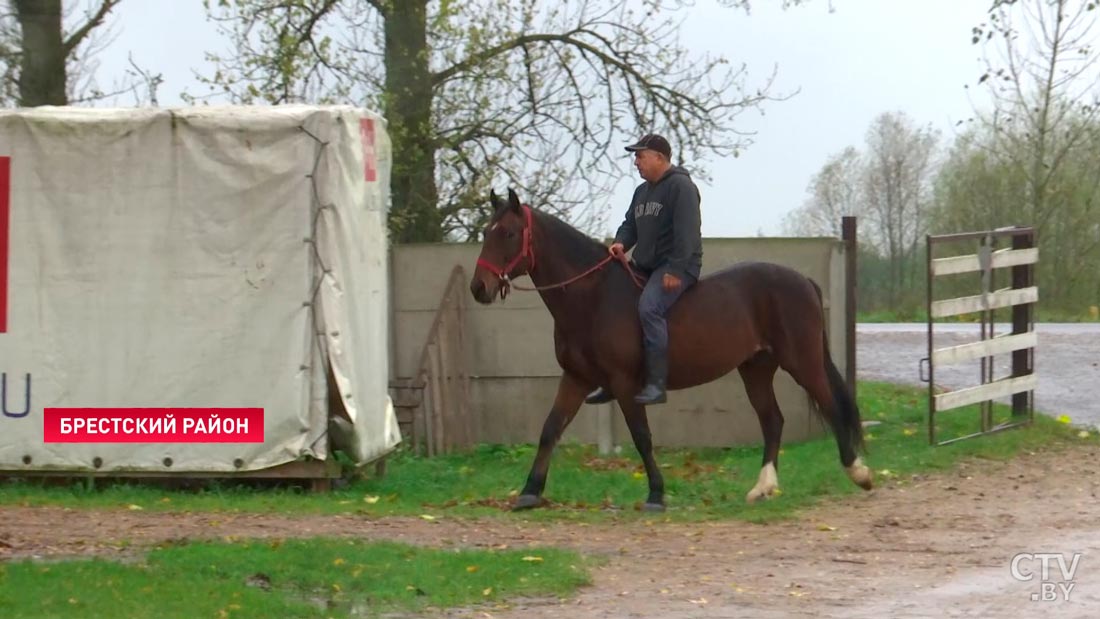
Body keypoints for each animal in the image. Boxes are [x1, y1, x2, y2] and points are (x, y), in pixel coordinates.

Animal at [468, 189, 871, 514]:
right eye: (486, 232)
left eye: (508, 233)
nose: (478, 287)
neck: (594, 297)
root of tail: (803, 281)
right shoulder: (576, 378)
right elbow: (550, 429)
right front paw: (529, 492)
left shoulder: (625, 384)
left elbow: (642, 437)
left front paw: (656, 495)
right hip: (756, 368)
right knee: (773, 420)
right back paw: (763, 487)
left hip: (802, 362)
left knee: (830, 406)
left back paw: (859, 472)